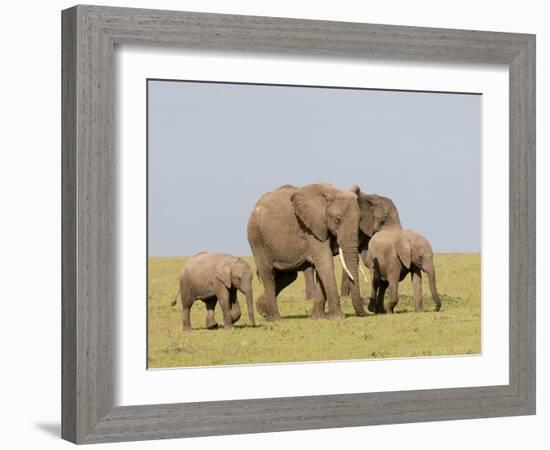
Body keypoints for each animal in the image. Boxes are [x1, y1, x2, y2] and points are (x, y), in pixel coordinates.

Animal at [249, 183, 368, 320]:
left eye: (360, 220)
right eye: (337, 219)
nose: (366, 314)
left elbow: (322, 267)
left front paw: (318, 317)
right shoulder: (311, 228)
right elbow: (325, 262)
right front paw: (337, 318)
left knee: (288, 276)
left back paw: (263, 311)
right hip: (257, 239)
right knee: (267, 274)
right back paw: (275, 319)